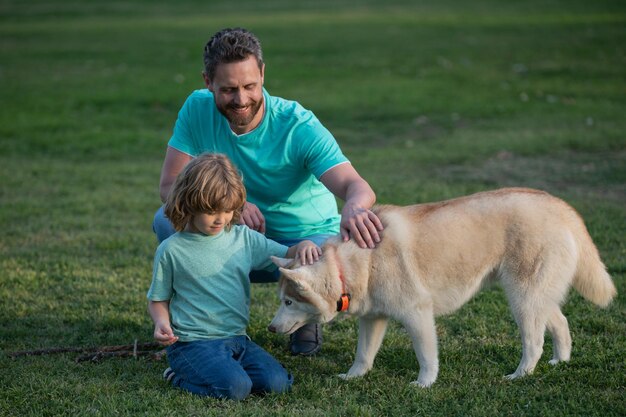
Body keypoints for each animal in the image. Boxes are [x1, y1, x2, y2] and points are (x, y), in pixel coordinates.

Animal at [266, 187, 616, 386]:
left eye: (288, 302)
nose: (269, 328)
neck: (353, 262)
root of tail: (559, 205)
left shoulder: (417, 314)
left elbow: (426, 356)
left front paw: (425, 383)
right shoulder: (373, 318)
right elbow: (363, 354)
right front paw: (353, 377)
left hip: (522, 298)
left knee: (534, 342)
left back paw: (520, 375)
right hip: (535, 296)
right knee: (561, 322)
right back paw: (560, 361)